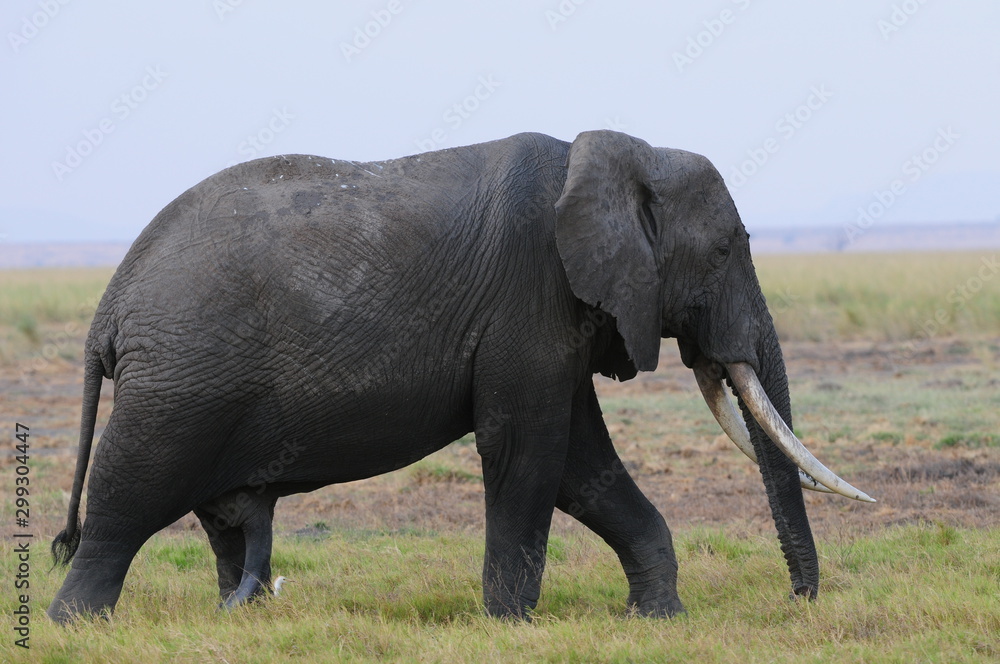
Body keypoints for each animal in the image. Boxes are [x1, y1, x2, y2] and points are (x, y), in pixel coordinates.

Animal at [47, 130, 873, 624]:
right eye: (730, 249)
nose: (799, 602)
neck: (618, 153)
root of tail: (107, 308)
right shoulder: (532, 295)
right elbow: (529, 455)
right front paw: (511, 625)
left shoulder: (560, 317)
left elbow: (581, 466)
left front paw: (657, 618)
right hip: (178, 387)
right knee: (126, 497)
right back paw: (78, 624)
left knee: (223, 520)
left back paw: (242, 620)